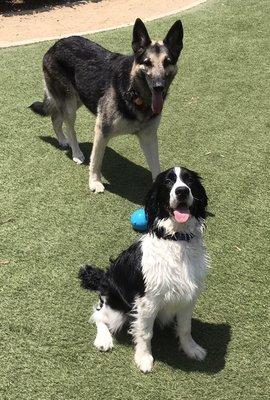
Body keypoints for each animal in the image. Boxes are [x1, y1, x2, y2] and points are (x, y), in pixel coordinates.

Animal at [30, 18, 185, 192]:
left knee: (55, 118)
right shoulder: (102, 131)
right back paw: (76, 153)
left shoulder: (148, 137)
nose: (159, 86)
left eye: (167, 62)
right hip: (70, 105)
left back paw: (62, 140)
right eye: (147, 62)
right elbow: (96, 161)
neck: (134, 91)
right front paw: (94, 182)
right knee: (70, 129)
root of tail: (55, 45)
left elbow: (156, 167)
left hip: (78, 99)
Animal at [78, 166, 209, 372]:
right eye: (168, 181)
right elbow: (146, 333)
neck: (176, 239)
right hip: (117, 309)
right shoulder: (147, 302)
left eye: (189, 180)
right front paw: (144, 358)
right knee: (99, 315)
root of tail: (105, 277)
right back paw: (104, 340)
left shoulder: (189, 296)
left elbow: (186, 328)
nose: (182, 191)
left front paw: (192, 349)